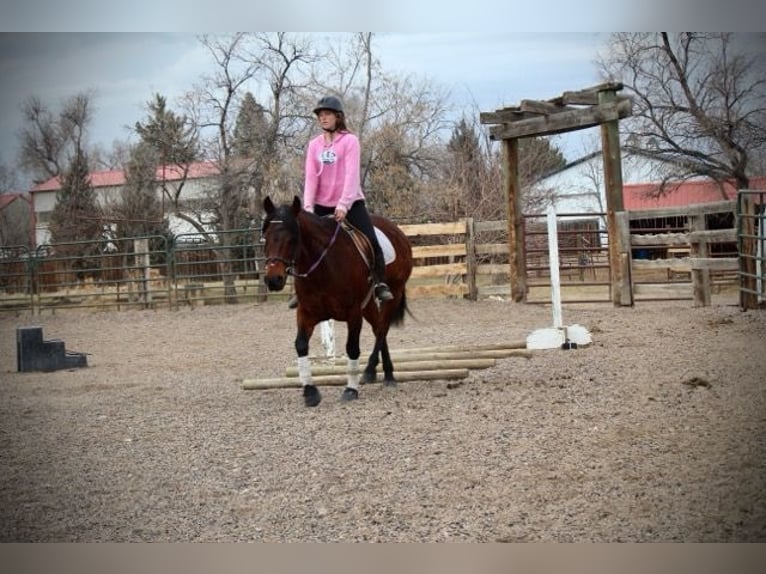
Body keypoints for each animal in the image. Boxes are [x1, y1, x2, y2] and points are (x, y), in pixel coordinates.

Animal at [262, 198, 414, 410]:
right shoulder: (306, 313)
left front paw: (350, 389)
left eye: (292, 239)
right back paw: (385, 373)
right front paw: (310, 392)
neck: (323, 266)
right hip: (368, 305)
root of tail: (397, 231)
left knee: (382, 329)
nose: (273, 280)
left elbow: (352, 348)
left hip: (394, 292)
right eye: (266, 237)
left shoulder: (353, 313)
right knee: (378, 329)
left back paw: (372, 371)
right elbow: (300, 345)